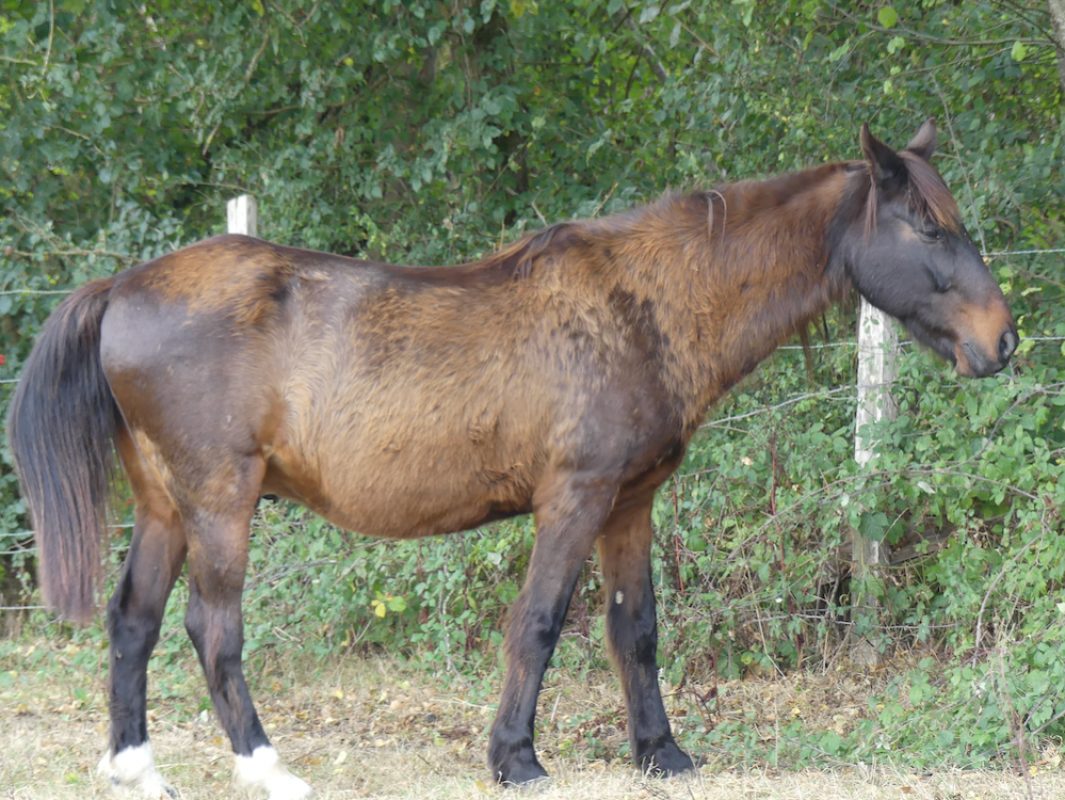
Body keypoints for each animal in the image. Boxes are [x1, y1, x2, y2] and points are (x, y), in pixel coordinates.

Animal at [6, 120, 1016, 799]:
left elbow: (634, 629)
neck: (642, 306)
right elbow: (538, 622)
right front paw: (515, 755)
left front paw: (660, 752)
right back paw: (266, 766)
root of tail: (123, 285)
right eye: (926, 227)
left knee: (132, 622)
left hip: (166, 505)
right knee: (210, 630)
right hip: (220, 501)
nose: (1002, 341)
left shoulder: (629, 503)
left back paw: (135, 766)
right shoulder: (572, 499)